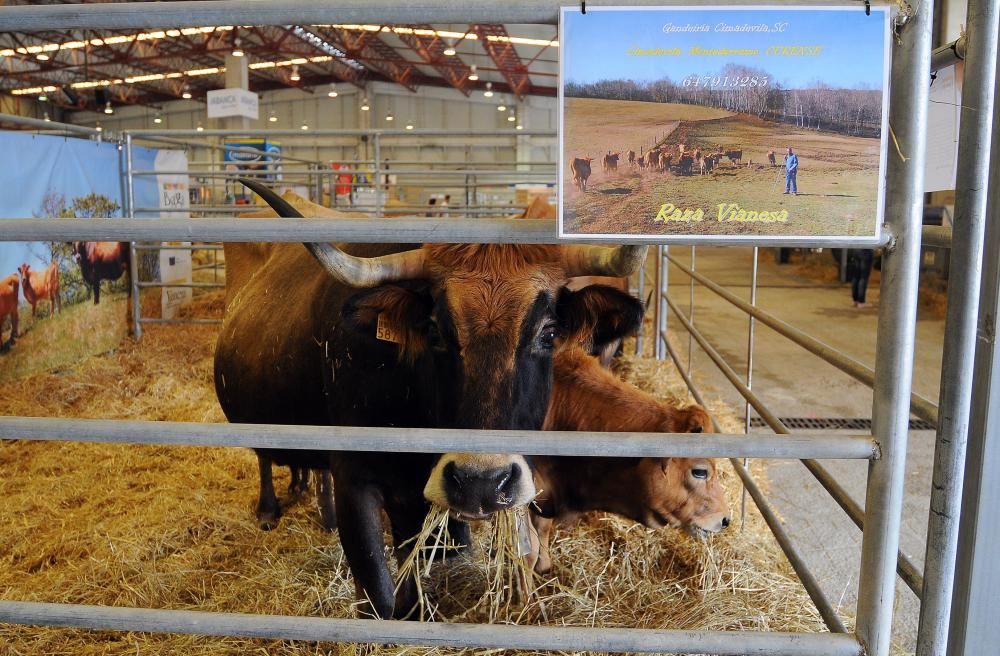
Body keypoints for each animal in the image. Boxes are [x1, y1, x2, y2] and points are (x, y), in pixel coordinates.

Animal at [214, 177, 644, 616]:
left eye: (549, 333)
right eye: (435, 330)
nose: (481, 483)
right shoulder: (356, 486)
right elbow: (380, 594)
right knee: (264, 458)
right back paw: (269, 509)